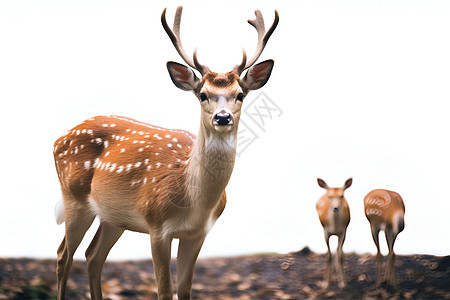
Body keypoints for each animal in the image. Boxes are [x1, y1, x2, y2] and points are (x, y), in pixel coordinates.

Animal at [52, 7, 278, 300]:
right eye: (202, 94)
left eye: (240, 94)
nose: (223, 117)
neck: (194, 201)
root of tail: (59, 138)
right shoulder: (157, 225)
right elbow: (164, 290)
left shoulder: (197, 234)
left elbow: (185, 289)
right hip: (74, 198)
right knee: (63, 255)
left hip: (114, 216)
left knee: (92, 256)